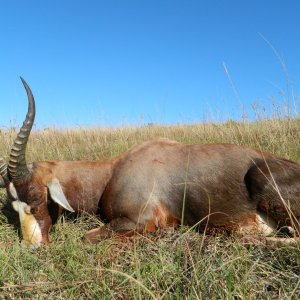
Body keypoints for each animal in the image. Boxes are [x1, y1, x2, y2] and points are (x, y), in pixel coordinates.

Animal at [0, 78, 298, 248]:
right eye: (13, 205)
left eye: (37, 197)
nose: (34, 248)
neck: (113, 170)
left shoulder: (141, 220)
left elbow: (88, 236)